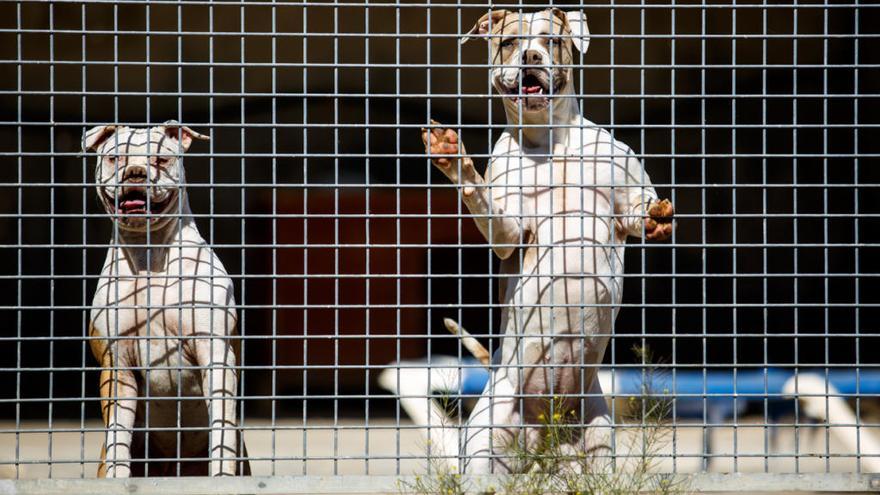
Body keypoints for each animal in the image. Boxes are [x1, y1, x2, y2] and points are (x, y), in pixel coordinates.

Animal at [84, 122, 249, 478]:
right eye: (115, 157)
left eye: (160, 159)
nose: (135, 173)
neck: (149, 255)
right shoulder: (117, 362)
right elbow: (119, 432)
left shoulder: (215, 353)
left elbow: (222, 426)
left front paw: (221, 477)